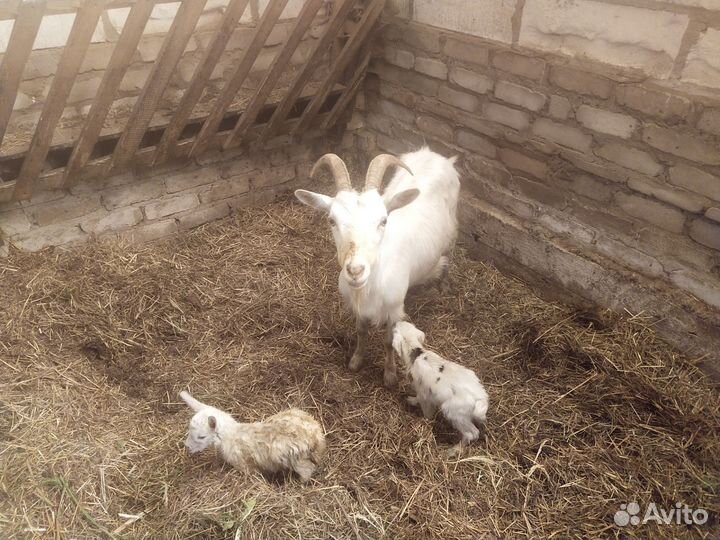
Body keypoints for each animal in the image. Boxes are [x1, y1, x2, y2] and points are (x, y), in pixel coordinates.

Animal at [179, 391, 326, 482]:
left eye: (201, 437)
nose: (187, 446)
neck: (231, 435)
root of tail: (313, 435)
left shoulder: (245, 466)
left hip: (295, 458)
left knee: (307, 470)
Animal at [294, 147, 459, 387]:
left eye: (383, 220)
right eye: (331, 220)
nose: (355, 271)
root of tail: (435, 155)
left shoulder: (394, 310)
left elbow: (388, 342)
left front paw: (390, 376)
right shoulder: (358, 308)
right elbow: (361, 332)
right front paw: (356, 361)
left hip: (452, 227)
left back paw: (444, 284)